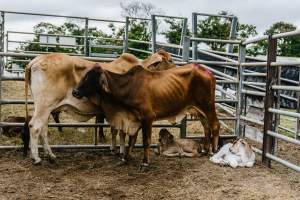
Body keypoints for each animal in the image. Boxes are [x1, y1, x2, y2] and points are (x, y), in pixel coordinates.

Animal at [22, 48, 173, 164]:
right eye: (170, 60)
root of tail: (36, 60)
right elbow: (122, 132)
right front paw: (122, 152)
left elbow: (115, 130)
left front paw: (113, 149)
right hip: (44, 106)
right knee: (35, 126)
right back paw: (36, 158)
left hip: (46, 109)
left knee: (43, 130)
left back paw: (51, 156)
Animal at [72, 63, 219, 171]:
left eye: (90, 77)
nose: (75, 92)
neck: (129, 87)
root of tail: (207, 71)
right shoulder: (135, 119)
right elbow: (131, 140)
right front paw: (125, 158)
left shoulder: (147, 118)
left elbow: (145, 141)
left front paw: (144, 163)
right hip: (198, 109)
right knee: (206, 126)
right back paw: (206, 150)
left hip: (208, 106)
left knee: (215, 125)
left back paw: (214, 152)